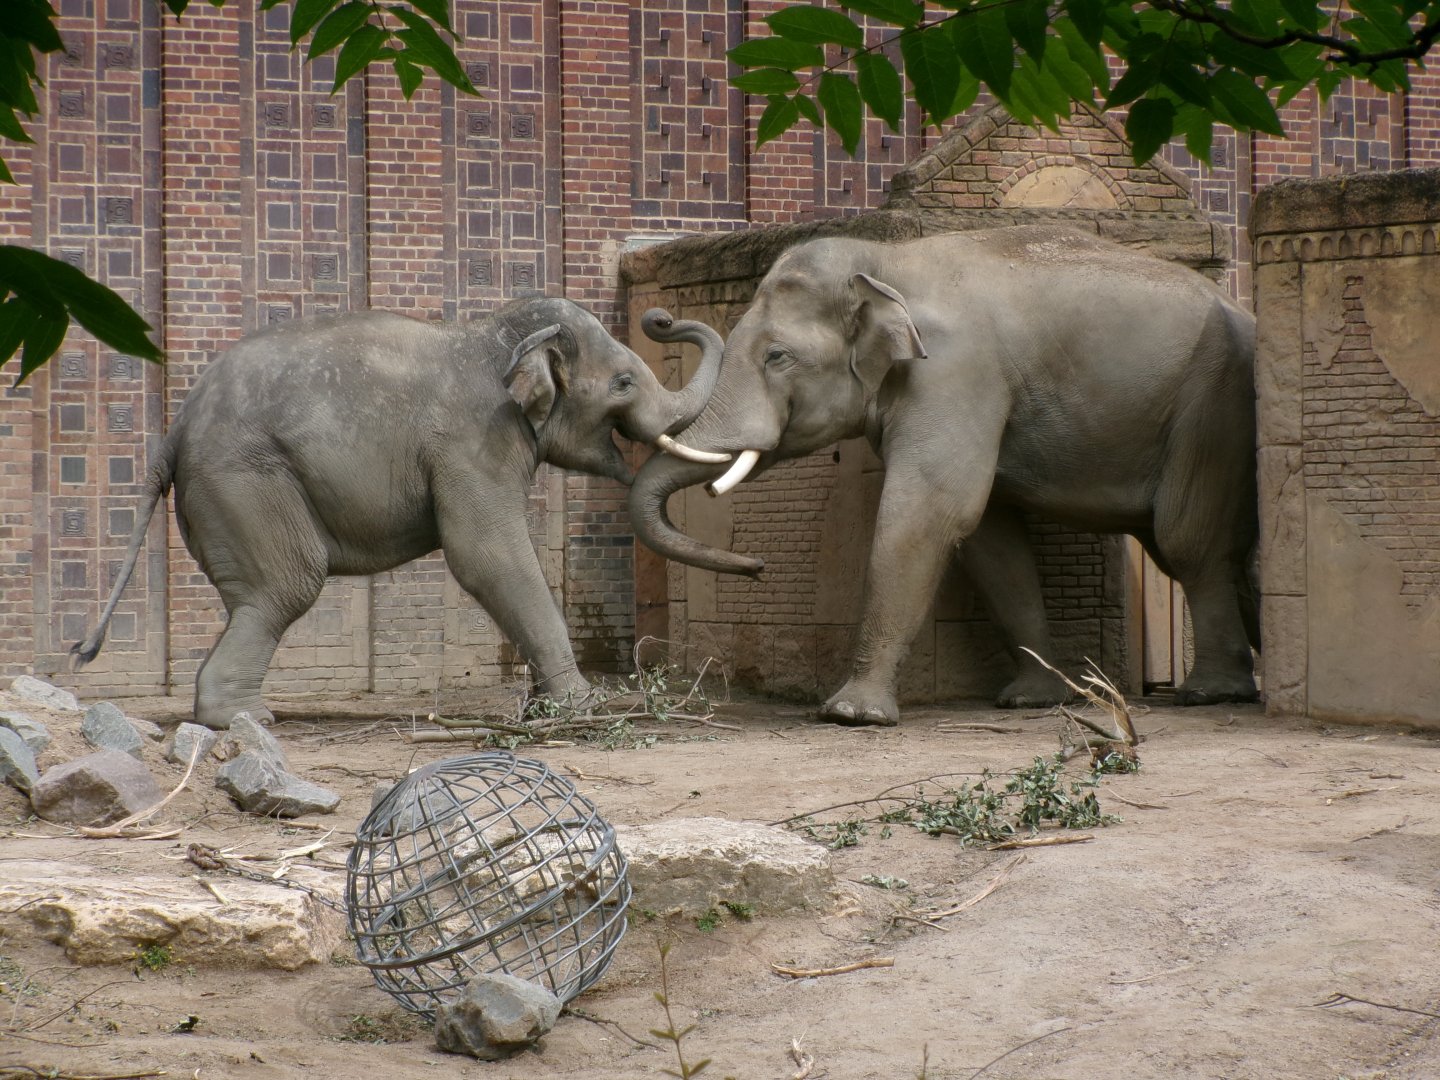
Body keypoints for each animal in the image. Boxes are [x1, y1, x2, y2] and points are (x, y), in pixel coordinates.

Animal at [74, 298, 724, 729]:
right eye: (623, 382)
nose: (661, 317)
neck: (497, 335)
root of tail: (176, 427)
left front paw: (547, 707)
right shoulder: (474, 440)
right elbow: (487, 555)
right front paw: (582, 708)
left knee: (256, 597)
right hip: (244, 479)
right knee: (285, 587)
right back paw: (246, 719)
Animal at [629, 225, 1260, 725]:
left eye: (777, 357)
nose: (758, 566)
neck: (887, 261)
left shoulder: (956, 371)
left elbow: (932, 510)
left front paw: (852, 715)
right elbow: (990, 537)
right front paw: (1030, 700)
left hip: (1215, 401)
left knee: (1187, 540)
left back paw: (1212, 693)